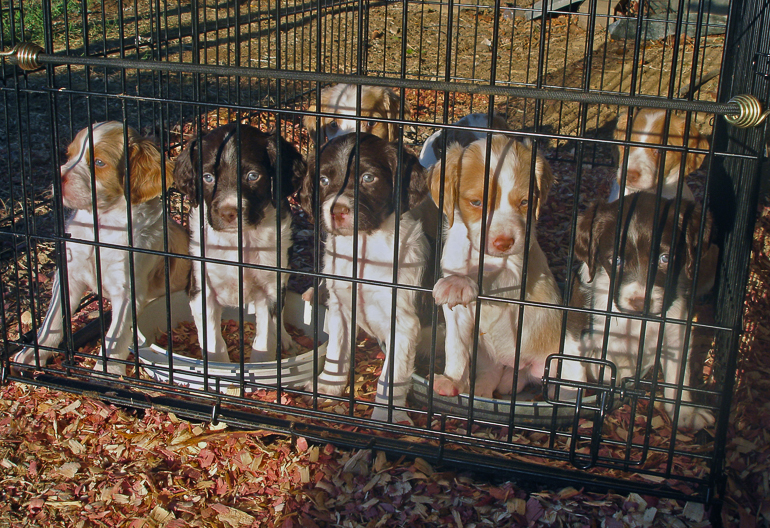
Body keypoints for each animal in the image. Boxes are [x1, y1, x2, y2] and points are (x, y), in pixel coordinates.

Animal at [12, 120, 189, 376]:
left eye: (98, 162)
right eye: (69, 155)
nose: (58, 176)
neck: (101, 225)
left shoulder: (127, 291)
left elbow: (115, 336)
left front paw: (108, 371)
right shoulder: (69, 275)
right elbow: (52, 321)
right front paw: (34, 353)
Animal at [174, 123, 306, 364]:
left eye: (253, 176)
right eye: (207, 177)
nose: (228, 213)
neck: (238, 239)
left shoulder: (270, 287)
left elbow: (265, 339)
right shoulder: (201, 287)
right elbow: (213, 342)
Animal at [300, 133, 432, 424]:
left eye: (368, 178)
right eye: (323, 180)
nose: (336, 211)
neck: (363, 245)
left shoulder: (403, 323)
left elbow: (392, 376)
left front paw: (387, 417)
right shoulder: (340, 306)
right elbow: (336, 351)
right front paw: (327, 386)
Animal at [426, 134, 560, 398]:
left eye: (525, 201)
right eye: (476, 202)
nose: (505, 242)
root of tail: (520, 368)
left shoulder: (518, 275)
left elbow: (493, 276)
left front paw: (459, 283)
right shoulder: (456, 313)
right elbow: (455, 347)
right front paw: (452, 380)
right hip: (489, 362)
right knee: (487, 382)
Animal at [560, 192, 716, 432]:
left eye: (665, 258)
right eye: (615, 260)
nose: (640, 302)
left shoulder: (676, 332)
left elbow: (678, 378)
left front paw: (687, 414)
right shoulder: (575, 330)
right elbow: (573, 376)